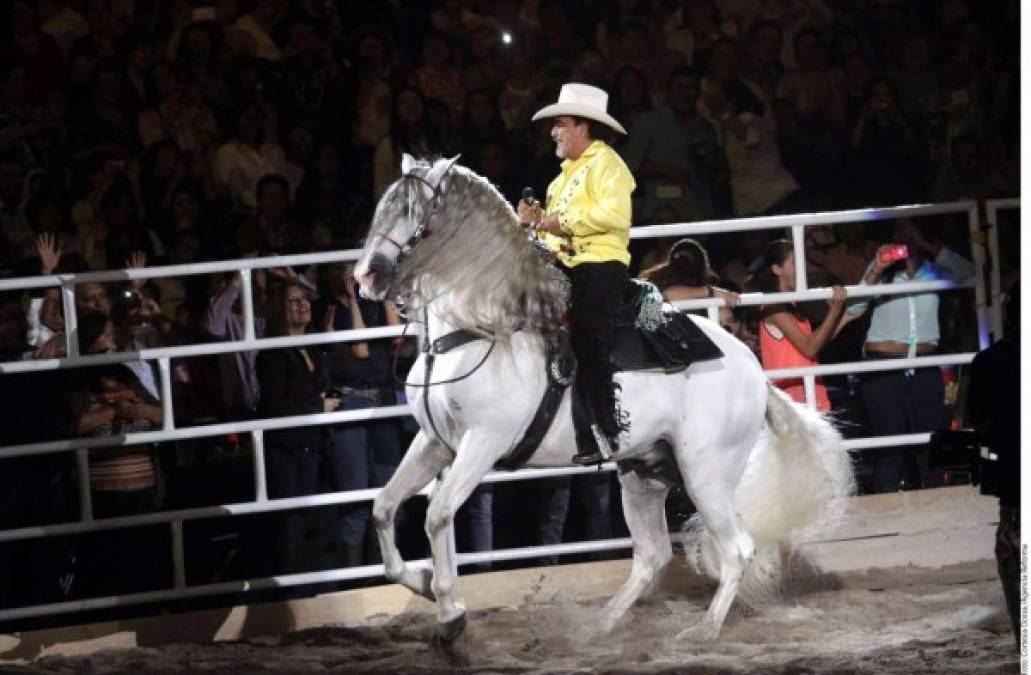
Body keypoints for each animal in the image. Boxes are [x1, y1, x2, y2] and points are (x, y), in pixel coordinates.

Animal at [354, 154, 853, 643]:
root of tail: (755, 375)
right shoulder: (436, 443)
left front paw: (450, 612)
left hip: (706, 475)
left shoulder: (483, 443)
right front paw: (421, 583)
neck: (481, 329)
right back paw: (601, 626)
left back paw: (702, 631)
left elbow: (437, 515)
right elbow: (383, 506)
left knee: (736, 550)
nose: (365, 275)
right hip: (644, 473)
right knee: (653, 555)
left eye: (413, 212)